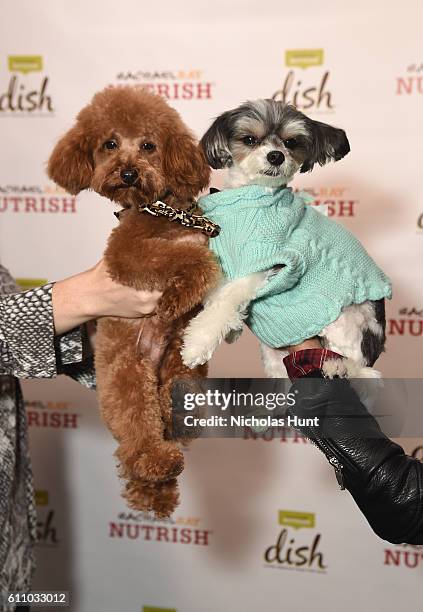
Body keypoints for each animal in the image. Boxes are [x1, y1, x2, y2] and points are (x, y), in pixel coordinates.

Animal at [181, 99, 390, 378]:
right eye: (250, 139)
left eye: (291, 142)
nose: (276, 156)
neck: (250, 198)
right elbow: (216, 290)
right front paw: (233, 327)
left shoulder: (268, 260)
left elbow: (227, 299)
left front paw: (197, 344)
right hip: (276, 360)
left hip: (350, 318)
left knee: (362, 371)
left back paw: (336, 366)